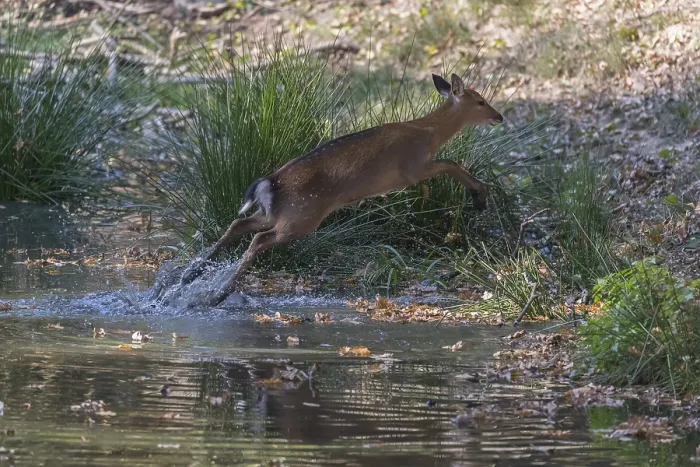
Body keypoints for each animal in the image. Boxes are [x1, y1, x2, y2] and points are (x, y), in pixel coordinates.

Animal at [180, 72, 504, 307]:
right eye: (480, 101)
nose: (499, 117)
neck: (429, 133)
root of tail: (269, 183)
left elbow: (452, 163)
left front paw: (479, 197)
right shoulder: (411, 170)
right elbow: (452, 163)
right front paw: (480, 197)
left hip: (280, 212)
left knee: (239, 223)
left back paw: (186, 278)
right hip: (302, 216)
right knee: (259, 239)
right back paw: (215, 295)